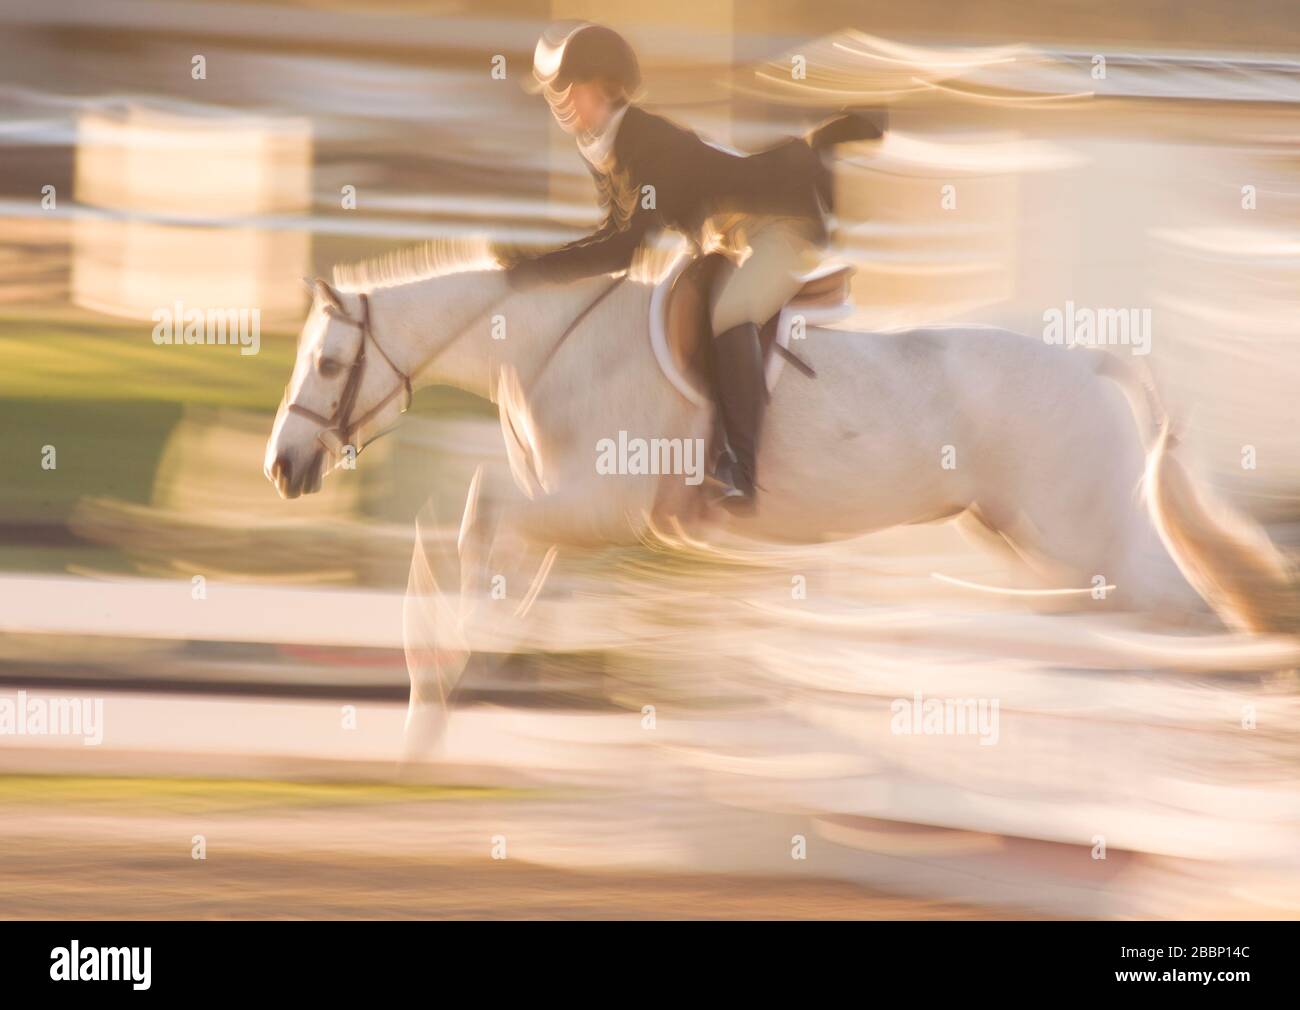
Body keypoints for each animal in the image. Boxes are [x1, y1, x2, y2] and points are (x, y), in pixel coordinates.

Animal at [266, 241, 1300, 748]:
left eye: (328, 364)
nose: (283, 466)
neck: (554, 342)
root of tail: (1088, 358)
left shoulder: (592, 504)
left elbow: (477, 529)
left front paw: (431, 688)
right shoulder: (567, 514)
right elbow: (495, 560)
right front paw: (448, 685)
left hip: (1083, 539)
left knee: (1185, 612)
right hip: (1034, 540)